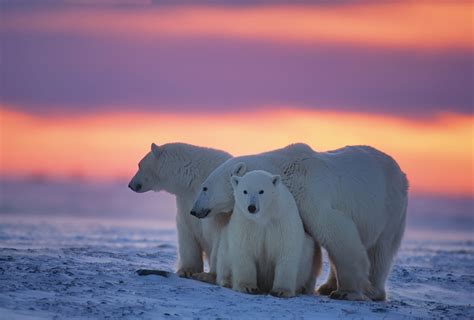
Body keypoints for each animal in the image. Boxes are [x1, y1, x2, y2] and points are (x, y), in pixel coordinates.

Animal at [129, 142, 232, 280]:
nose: (130, 184)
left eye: (139, 165)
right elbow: (187, 231)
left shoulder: (217, 204)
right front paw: (187, 271)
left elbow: (219, 235)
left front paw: (208, 275)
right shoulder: (186, 200)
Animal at [219, 170, 318, 298]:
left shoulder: (282, 221)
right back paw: (226, 281)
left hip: (307, 253)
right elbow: (244, 249)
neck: (264, 218)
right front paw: (248, 287)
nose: (252, 207)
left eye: (261, 191)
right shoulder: (246, 222)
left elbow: (286, 250)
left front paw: (281, 291)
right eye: (245, 191)